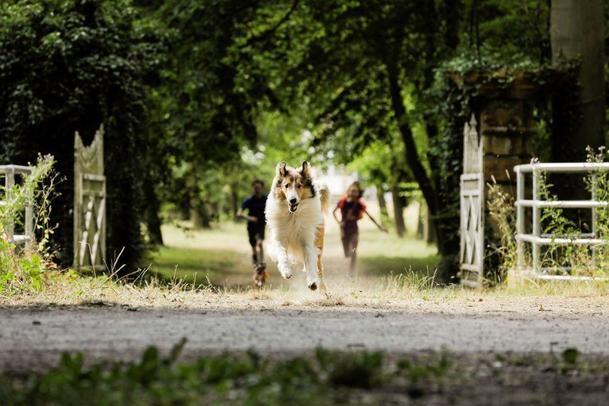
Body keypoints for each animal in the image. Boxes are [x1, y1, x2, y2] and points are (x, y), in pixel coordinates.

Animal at [264, 160, 328, 290]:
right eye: (286, 185)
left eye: (299, 185)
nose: (292, 200)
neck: (293, 215)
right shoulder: (279, 239)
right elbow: (282, 254)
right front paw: (286, 271)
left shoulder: (308, 241)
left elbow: (310, 261)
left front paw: (312, 282)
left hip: (318, 246)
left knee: (319, 268)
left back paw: (323, 288)